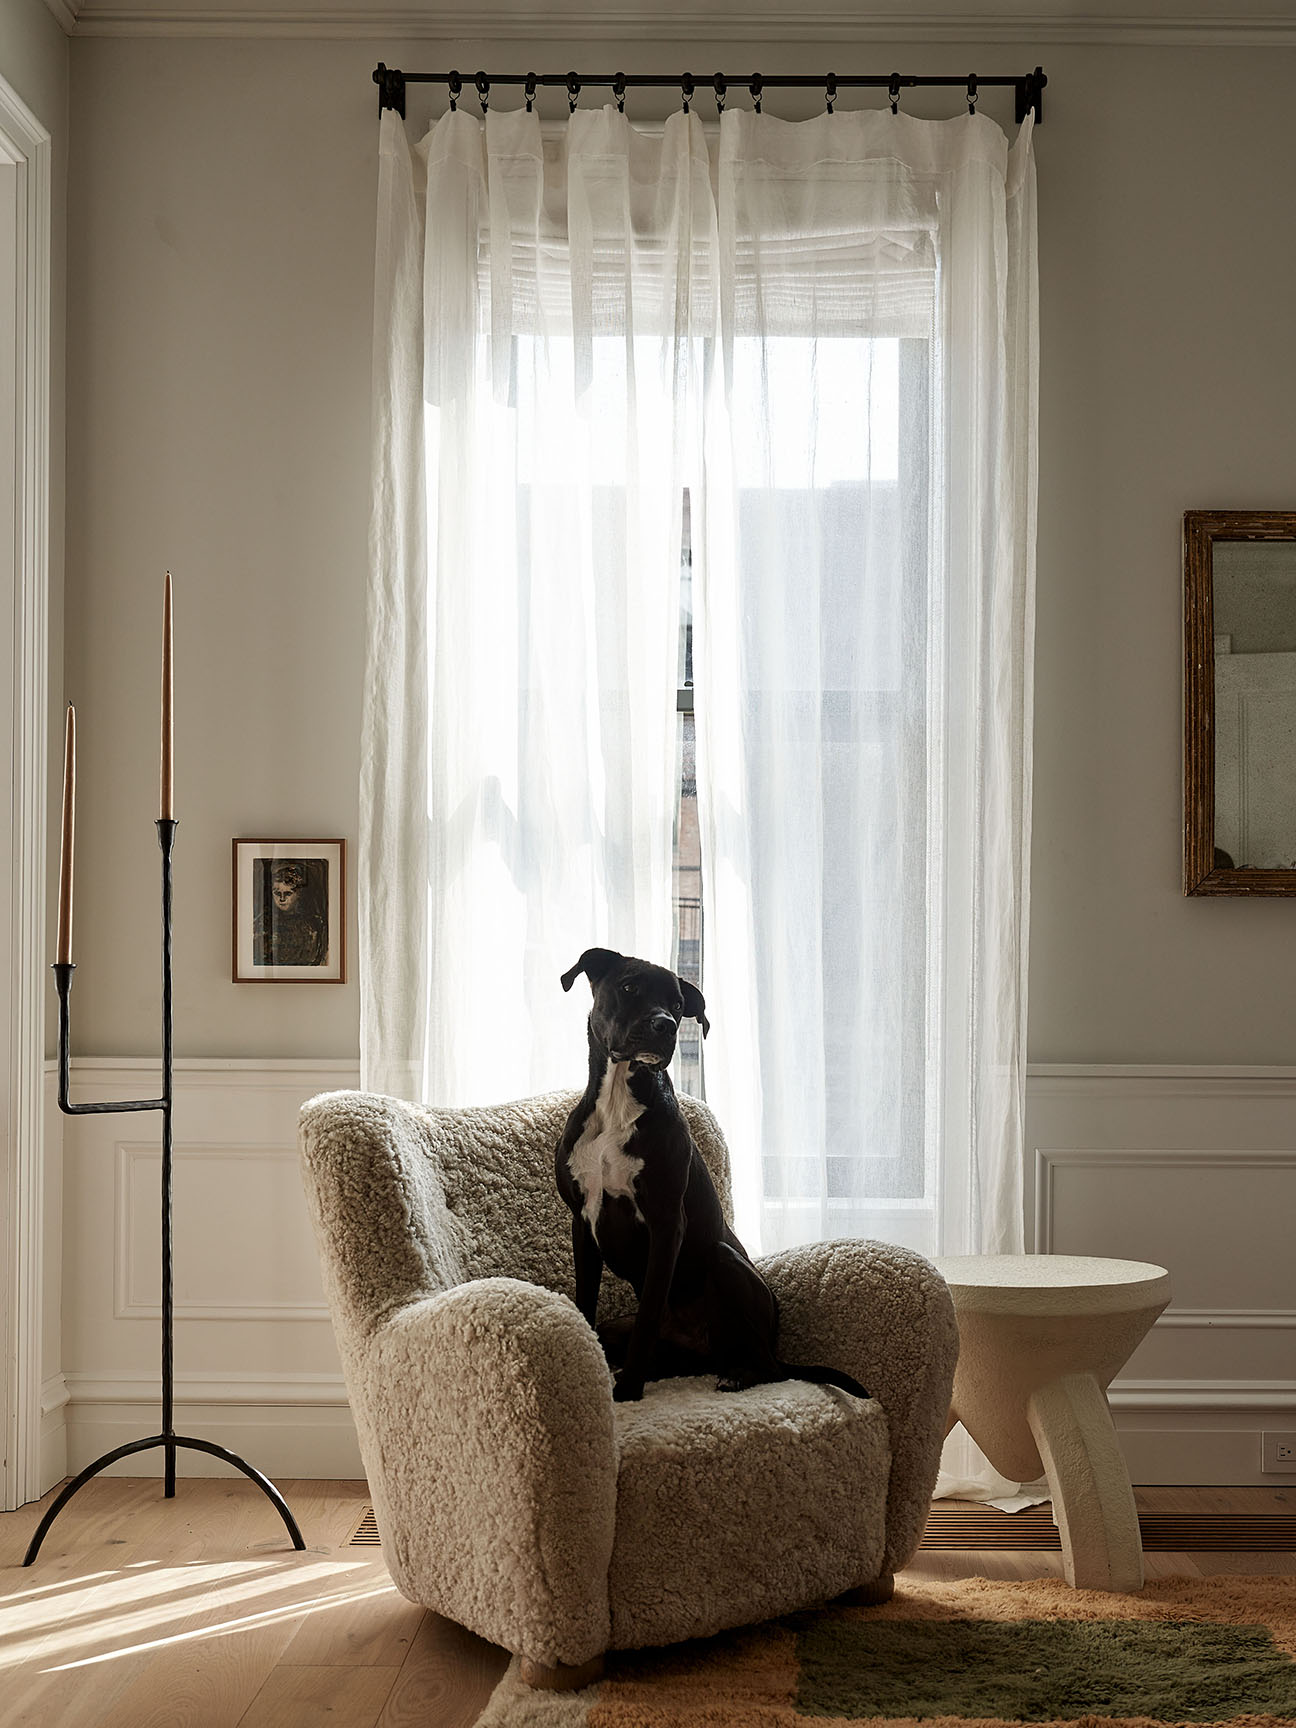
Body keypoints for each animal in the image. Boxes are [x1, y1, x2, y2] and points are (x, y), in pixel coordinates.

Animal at [552, 953, 867, 1410]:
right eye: (629, 987)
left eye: (679, 1004)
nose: (665, 1024)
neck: (617, 1103)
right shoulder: (583, 1222)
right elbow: (586, 1305)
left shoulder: (666, 1224)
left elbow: (648, 1313)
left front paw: (628, 1391)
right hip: (636, 1327)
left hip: (722, 1261)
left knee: (765, 1366)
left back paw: (734, 1376)